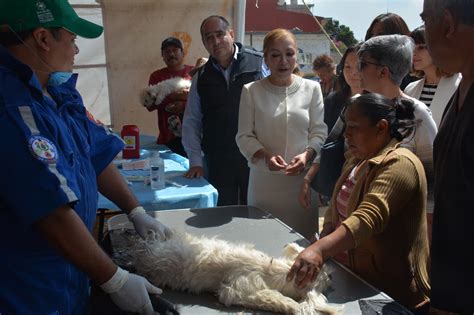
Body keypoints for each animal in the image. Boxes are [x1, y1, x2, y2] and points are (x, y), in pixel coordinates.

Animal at [130, 231, 342, 314]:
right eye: (325, 278)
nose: (333, 276)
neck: (272, 269)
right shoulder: (236, 291)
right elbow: (275, 298)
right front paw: (295, 307)